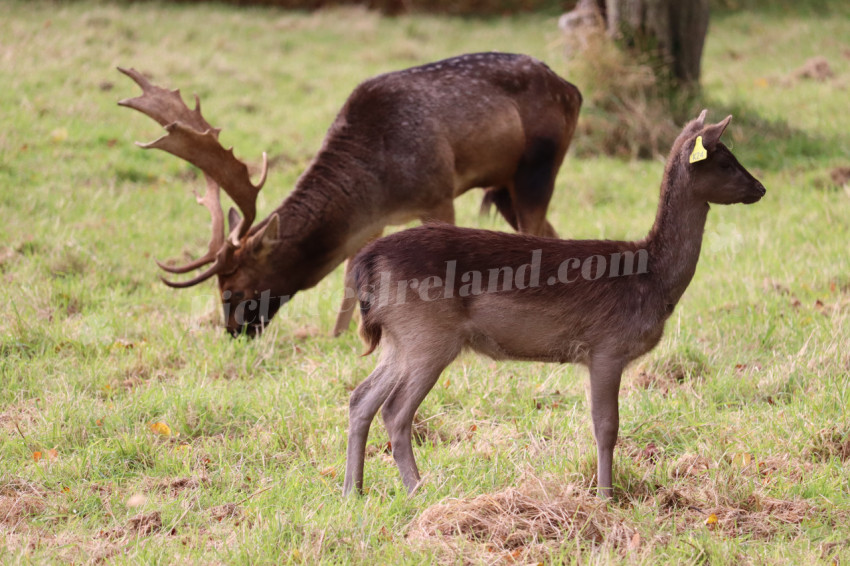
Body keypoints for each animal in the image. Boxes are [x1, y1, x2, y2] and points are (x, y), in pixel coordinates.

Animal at [116, 52, 580, 338]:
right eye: (218, 286)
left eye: (240, 285)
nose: (233, 332)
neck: (378, 187)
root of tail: (572, 89)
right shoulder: (372, 224)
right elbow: (350, 277)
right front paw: (342, 334)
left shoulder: (438, 192)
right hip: (503, 185)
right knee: (550, 232)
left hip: (538, 165)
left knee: (537, 229)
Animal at [342, 110, 764, 496]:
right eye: (726, 161)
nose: (760, 188)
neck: (652, 281)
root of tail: (367, 262)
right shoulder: (607, 346)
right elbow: (606, 426)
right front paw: (605, 496)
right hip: (429, 335)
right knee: (395, 410)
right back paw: (417, 490)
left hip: (399, 339)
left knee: (361, 397)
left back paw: (353, 491)